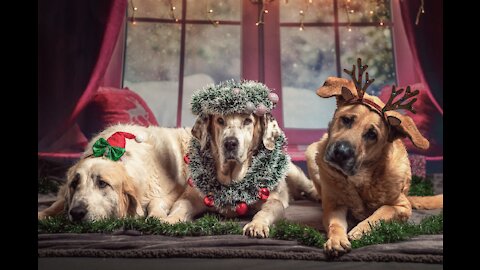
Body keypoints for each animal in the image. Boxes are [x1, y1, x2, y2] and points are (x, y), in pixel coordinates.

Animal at [37, 124, 191, 221]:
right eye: (74, 184)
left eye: (102, 183)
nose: (76, 213)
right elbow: (56, 204)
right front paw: (42, 214)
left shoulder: (172, 192)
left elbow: (155, 201)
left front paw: (157, 217)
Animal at [306, 58, 444, 256]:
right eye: (346, 120)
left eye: (372, 134)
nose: (341, 152)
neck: (361, 177)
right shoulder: (334, 205)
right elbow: (335, 224)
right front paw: (337, 239)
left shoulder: (401, 206)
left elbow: (381, 212)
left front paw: (361, 230)